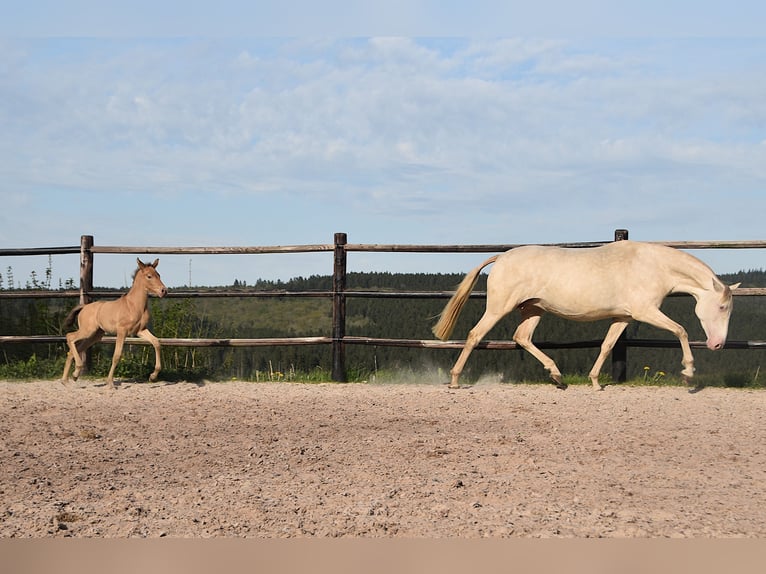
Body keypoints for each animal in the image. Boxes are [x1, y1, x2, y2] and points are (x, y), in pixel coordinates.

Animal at [61, 258, 168, 389]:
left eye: (158, 275)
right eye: (149, 276)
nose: (164, 291)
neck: (134, 305)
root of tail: (84, 307)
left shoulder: (140, 330)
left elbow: (156, 343)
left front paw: (152, 377)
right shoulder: (122, 331)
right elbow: (117, 355)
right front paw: (110, 383)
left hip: (95, 335)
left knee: (75, 349)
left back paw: (69, 379)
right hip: (87, 331)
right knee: (70, 337)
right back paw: (74, 373)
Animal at [432, 241, 739, 390]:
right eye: (722, 307)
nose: (718, 344)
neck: (654, 266)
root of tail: (502, 257)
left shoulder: (623, 317)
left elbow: (607, 346)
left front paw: (595, 382)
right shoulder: (646, 311)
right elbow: (680, 330)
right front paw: (688, 373)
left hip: (534, 309)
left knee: (522, 337)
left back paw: (557, 376)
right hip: (500, 307)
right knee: (475, 335)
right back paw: (455, 380)